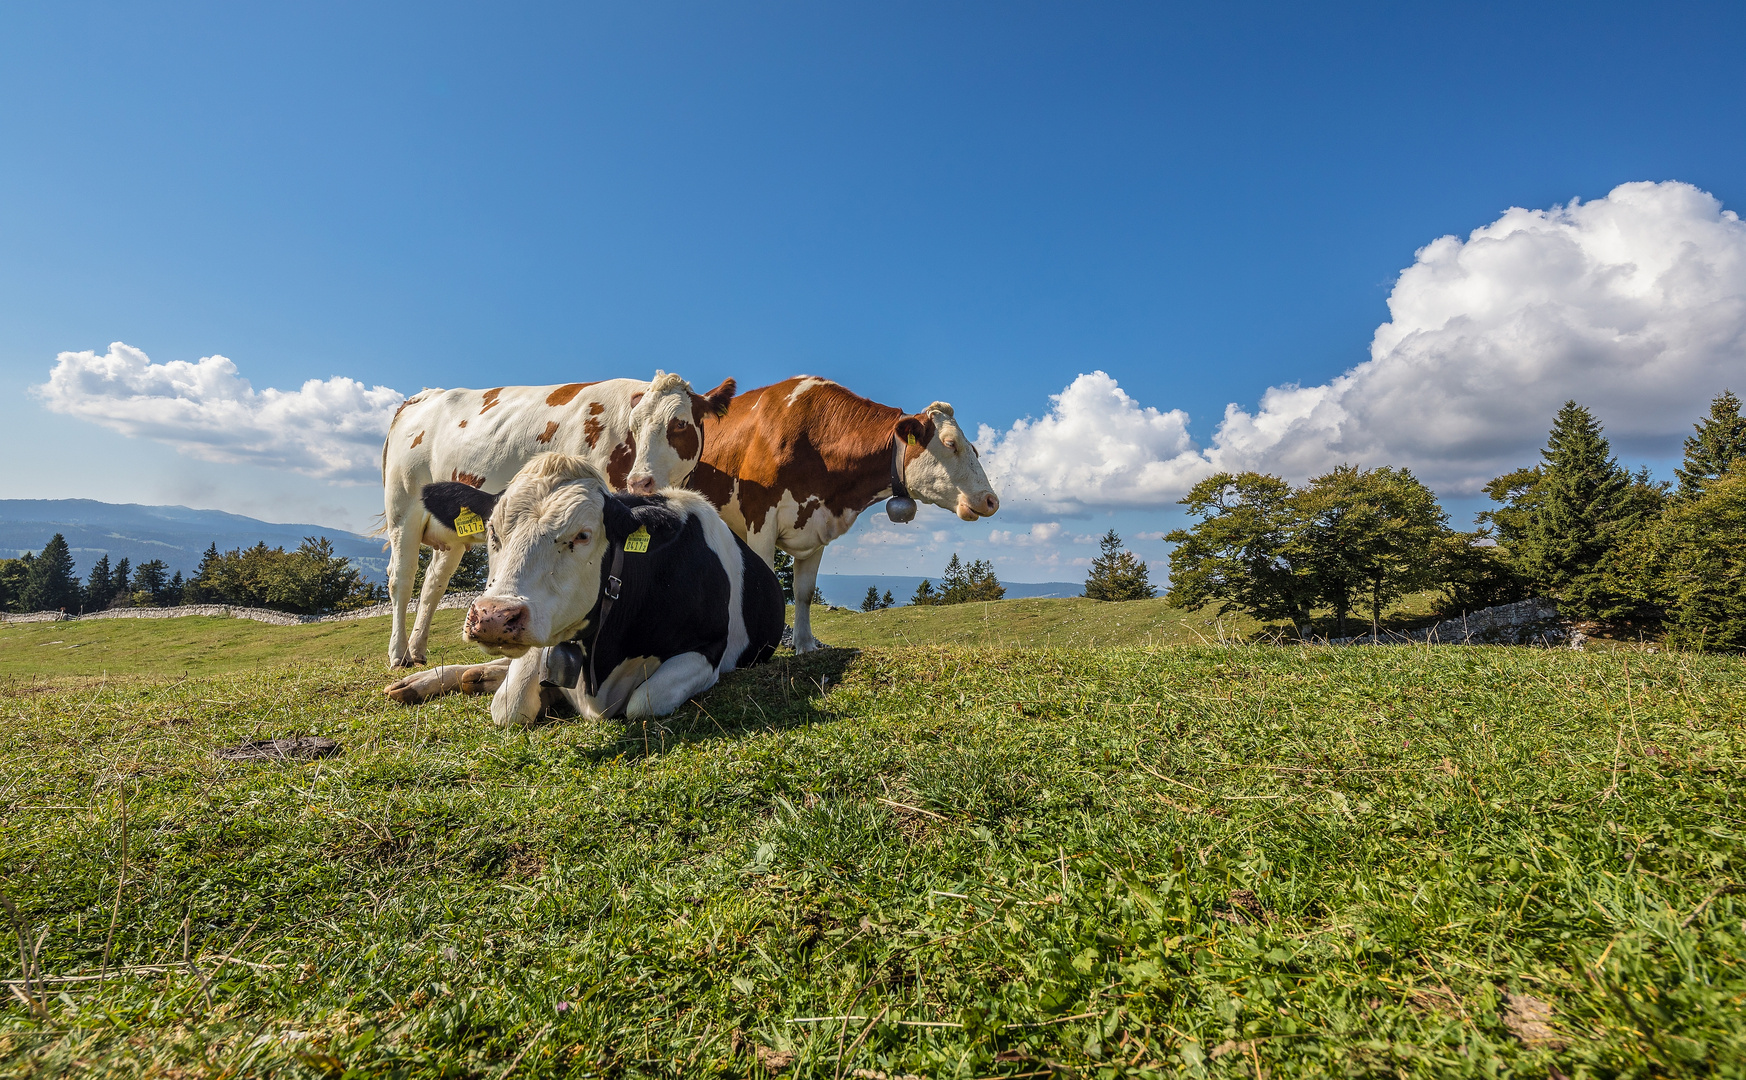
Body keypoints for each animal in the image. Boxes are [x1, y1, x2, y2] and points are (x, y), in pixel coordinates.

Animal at [378, 376, 733, 673]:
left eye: (680, 424)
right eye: (634, 426)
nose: (640, 481)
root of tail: (425, 394)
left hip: (449, 535)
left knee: (432, 584)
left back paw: (417, 649)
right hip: (403, 505)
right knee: (401, 578)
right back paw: (398, 654)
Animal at [392, 453, 789, 722]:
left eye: (583, 535)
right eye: (492, 530)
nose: (493, 616)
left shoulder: (710, 647)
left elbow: (644, 702)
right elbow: (509, 706)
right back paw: (428, 680)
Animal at [687, 376, 1005, 656]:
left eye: (974, 448)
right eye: (951, 444)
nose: (991, 500)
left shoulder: (817, 526)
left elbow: (804, 592)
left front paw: (805, 646)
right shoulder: (760, 518)